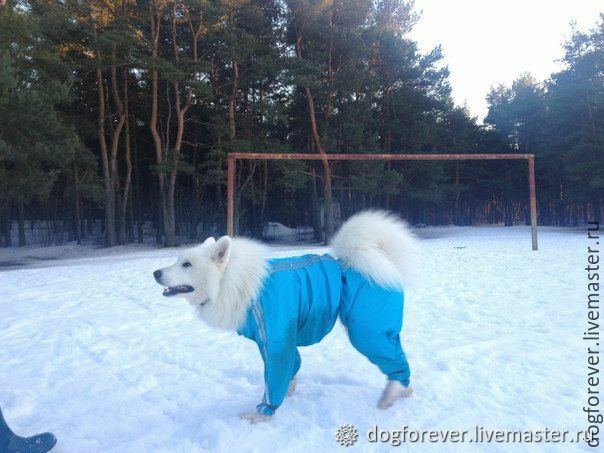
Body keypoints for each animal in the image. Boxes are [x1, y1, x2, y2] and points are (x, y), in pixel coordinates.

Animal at [153, 210, 418, 422]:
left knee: (395, 361)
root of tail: (385, 259)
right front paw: (290, 389)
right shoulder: (274, 341)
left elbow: (275, 378)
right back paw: (402, 390)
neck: (233, 281)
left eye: (187, 264)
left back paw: (394, 391)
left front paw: (262, 414)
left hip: (367, 330)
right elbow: (292, 367)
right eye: (178, 260)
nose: (155, 273)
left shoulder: (276, 339)